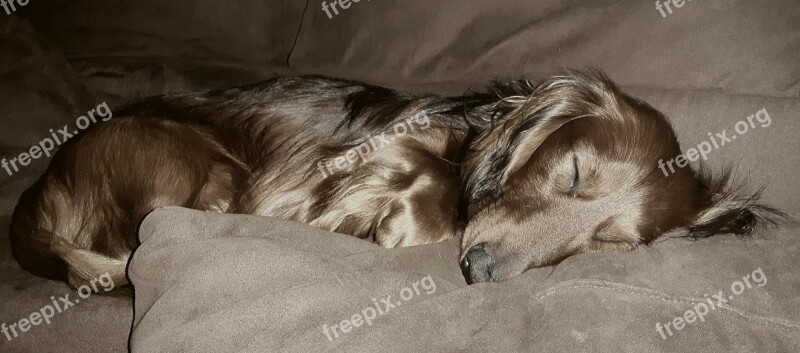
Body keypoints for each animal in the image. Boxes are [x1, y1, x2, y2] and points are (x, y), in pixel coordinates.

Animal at [7, 69, 780, 286]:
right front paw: (396, 218)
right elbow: (424, 175)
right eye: (572, 173)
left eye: (608, 244)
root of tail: (39, 187)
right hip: (206, 174)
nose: (482, 271)